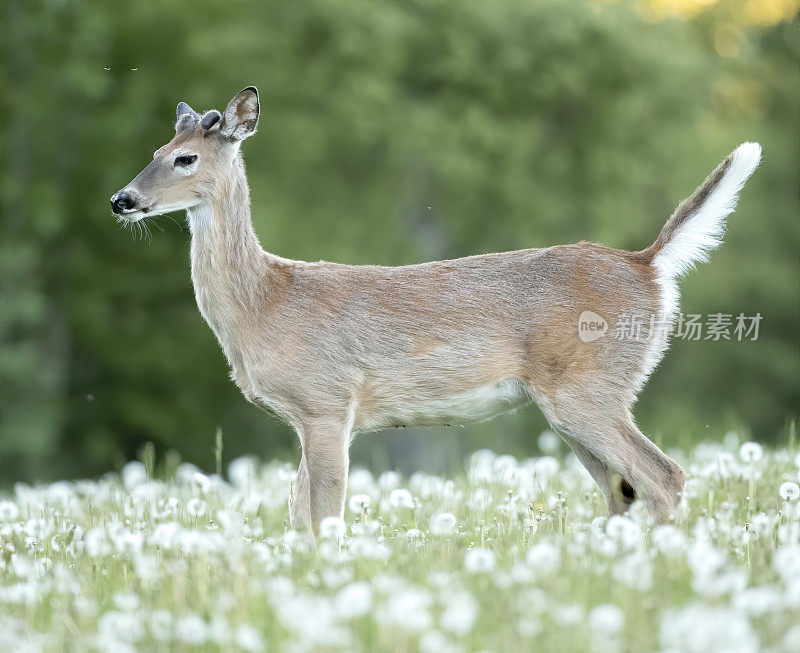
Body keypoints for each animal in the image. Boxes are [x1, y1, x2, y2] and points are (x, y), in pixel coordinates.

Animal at [109, 88, 760, 536]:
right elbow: (297, 517)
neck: (261, 306)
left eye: (186, 159)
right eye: (155, 150)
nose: (122, 199)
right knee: (623, 490)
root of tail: (647, 263)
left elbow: (324, 518)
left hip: (588, 386)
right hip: (574, 402)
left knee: (664, 477)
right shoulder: (313, 417)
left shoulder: (326, 401)